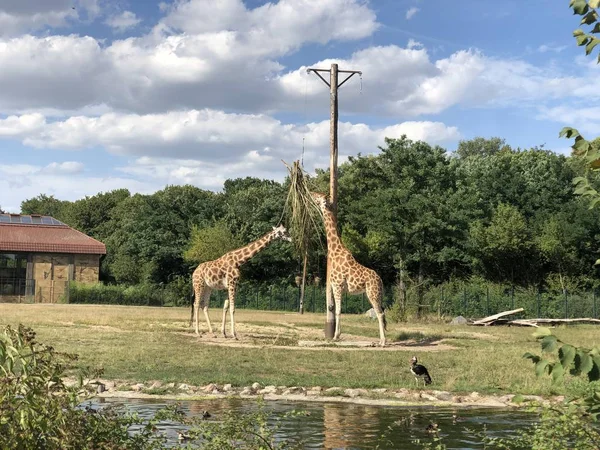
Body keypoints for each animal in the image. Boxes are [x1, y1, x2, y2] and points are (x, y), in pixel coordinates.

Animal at [312, 192, 386, 346]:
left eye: (319, 197)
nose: (312, 194)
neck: (335, 250)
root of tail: (380, 280)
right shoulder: (336, 286)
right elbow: (337, 310)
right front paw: (337, 335)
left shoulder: (337, 285)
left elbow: (338, 311)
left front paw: (335, 336)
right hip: (375, 294)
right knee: (381, 312)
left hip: (372, 293)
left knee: (380, 313)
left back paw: (382, 342)